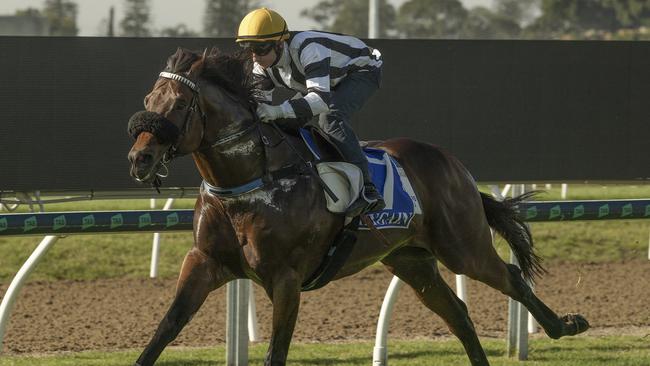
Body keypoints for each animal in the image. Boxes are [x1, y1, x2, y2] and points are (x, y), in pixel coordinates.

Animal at [126, 47, 588, 364]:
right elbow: (165, 329)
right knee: (456, 313)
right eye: (148, 101)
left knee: (510, 277)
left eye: (179, 105)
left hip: (461, 247)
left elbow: (277, 350)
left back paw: (565, 325)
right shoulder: (204, 261)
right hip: (410, 259)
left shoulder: (286, 277)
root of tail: (455, 165)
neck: (249, 184)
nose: (139, 159)